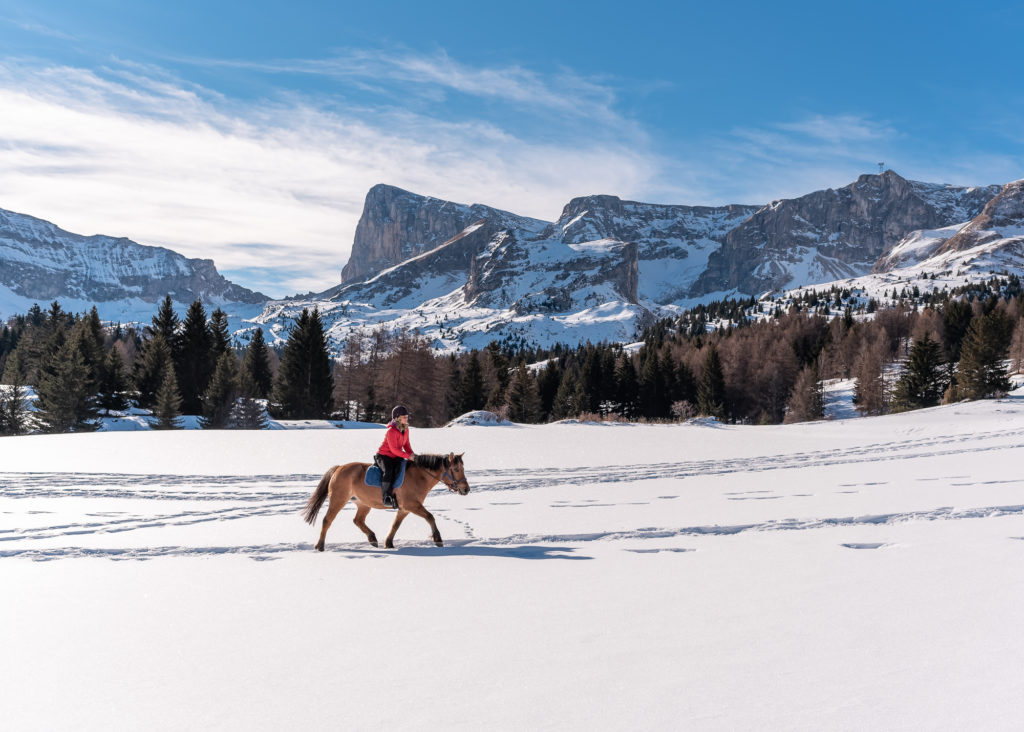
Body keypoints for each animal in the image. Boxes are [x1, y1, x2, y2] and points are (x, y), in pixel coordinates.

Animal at [299, 452, 468, 548]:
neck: (419, 476)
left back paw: (372, 539)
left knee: (358, 520)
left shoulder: (404, 508)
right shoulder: (412, 505)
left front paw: (389, 543)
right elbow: (430, 517)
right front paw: (438, 539)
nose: (466, 489)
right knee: (327, 520)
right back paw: (320, 545)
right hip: (338, 499)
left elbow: (395, 525)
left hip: (363, 503)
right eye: (456, 469)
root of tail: (339, 468)